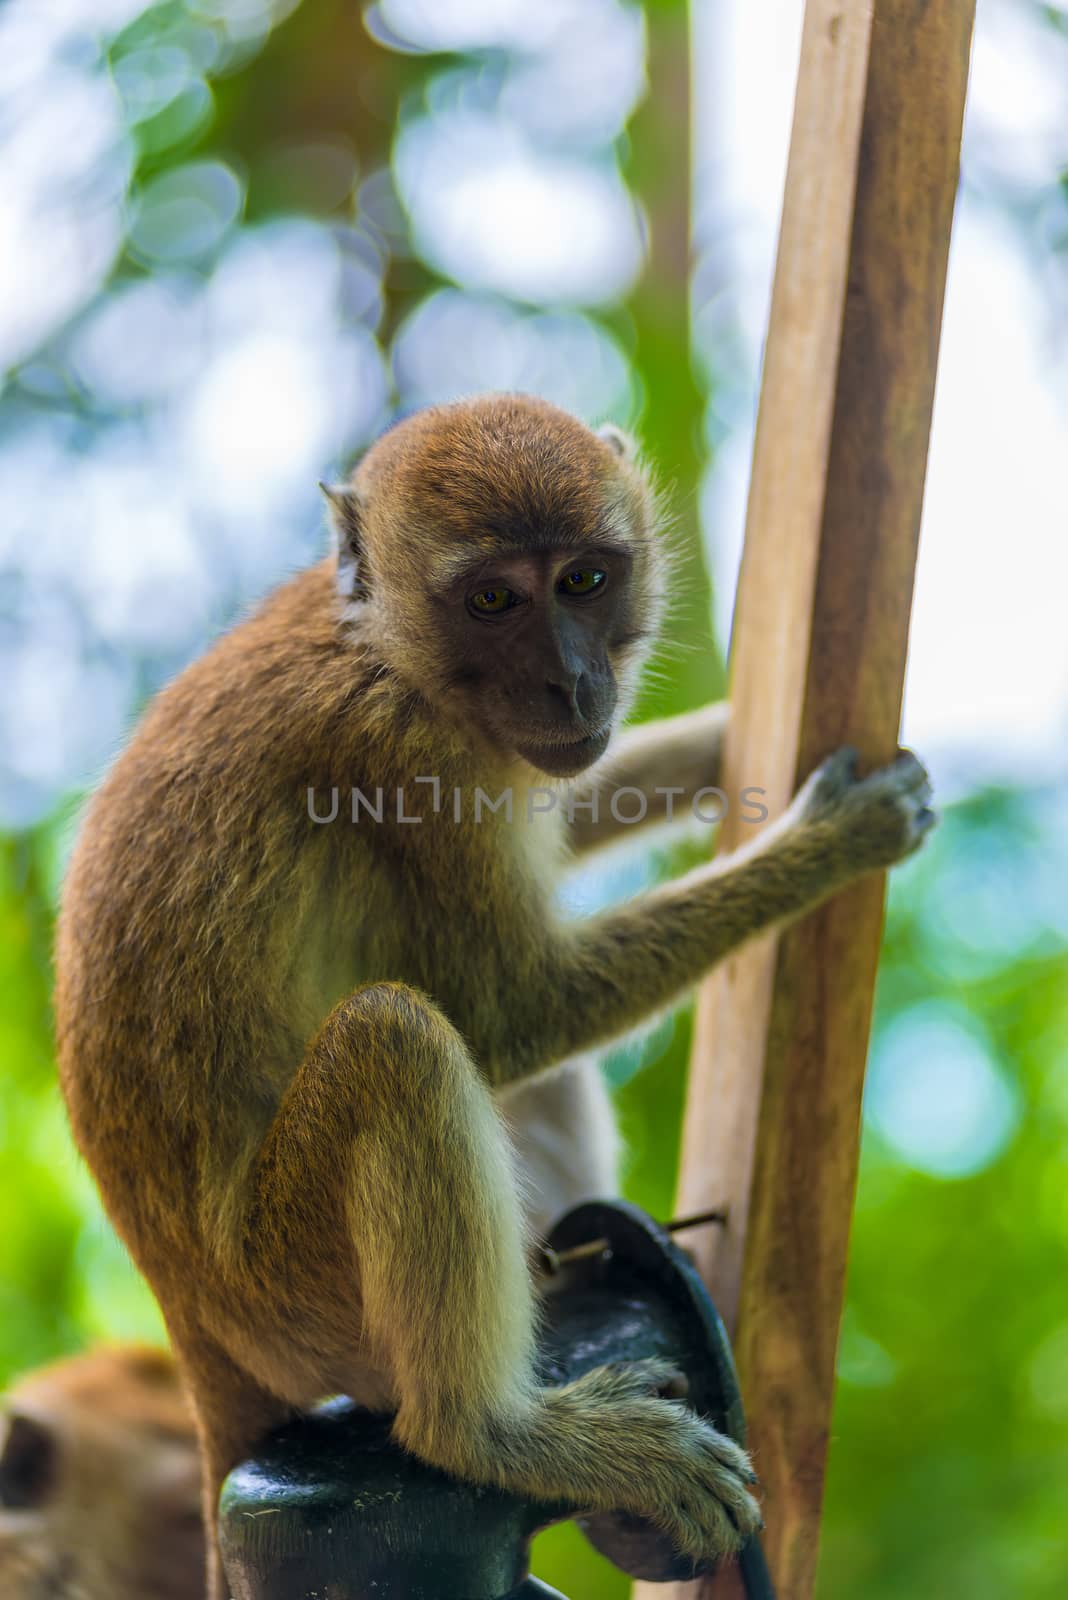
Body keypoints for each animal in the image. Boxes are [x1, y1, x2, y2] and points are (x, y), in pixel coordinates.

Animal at [54, 390, 933, 1600]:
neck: (382, 647)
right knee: (398, 1039)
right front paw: (836, 837)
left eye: (584, 580)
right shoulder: (405, 754)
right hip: (298, 1296)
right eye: (490, 599)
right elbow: (515, 1006)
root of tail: (197, 1334)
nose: (572, 681)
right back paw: (496, 1434)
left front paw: (716, 748)